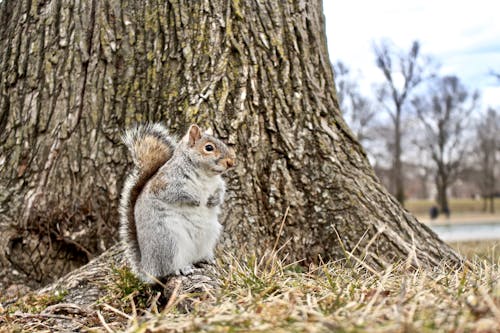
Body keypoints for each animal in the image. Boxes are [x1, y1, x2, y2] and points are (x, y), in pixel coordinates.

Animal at [118, 122, 234, 282]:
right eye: (209, 148)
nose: (231, 162)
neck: (205, 174)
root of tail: (148, 267)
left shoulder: (217, 184)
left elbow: (221, 191)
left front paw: (213, 201)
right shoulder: (165, 184)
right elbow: (176, 194)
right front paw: (196, 199)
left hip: (210, 233)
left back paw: (206, 259)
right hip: (169, 240)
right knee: (169, 268)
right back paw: (182, 268)